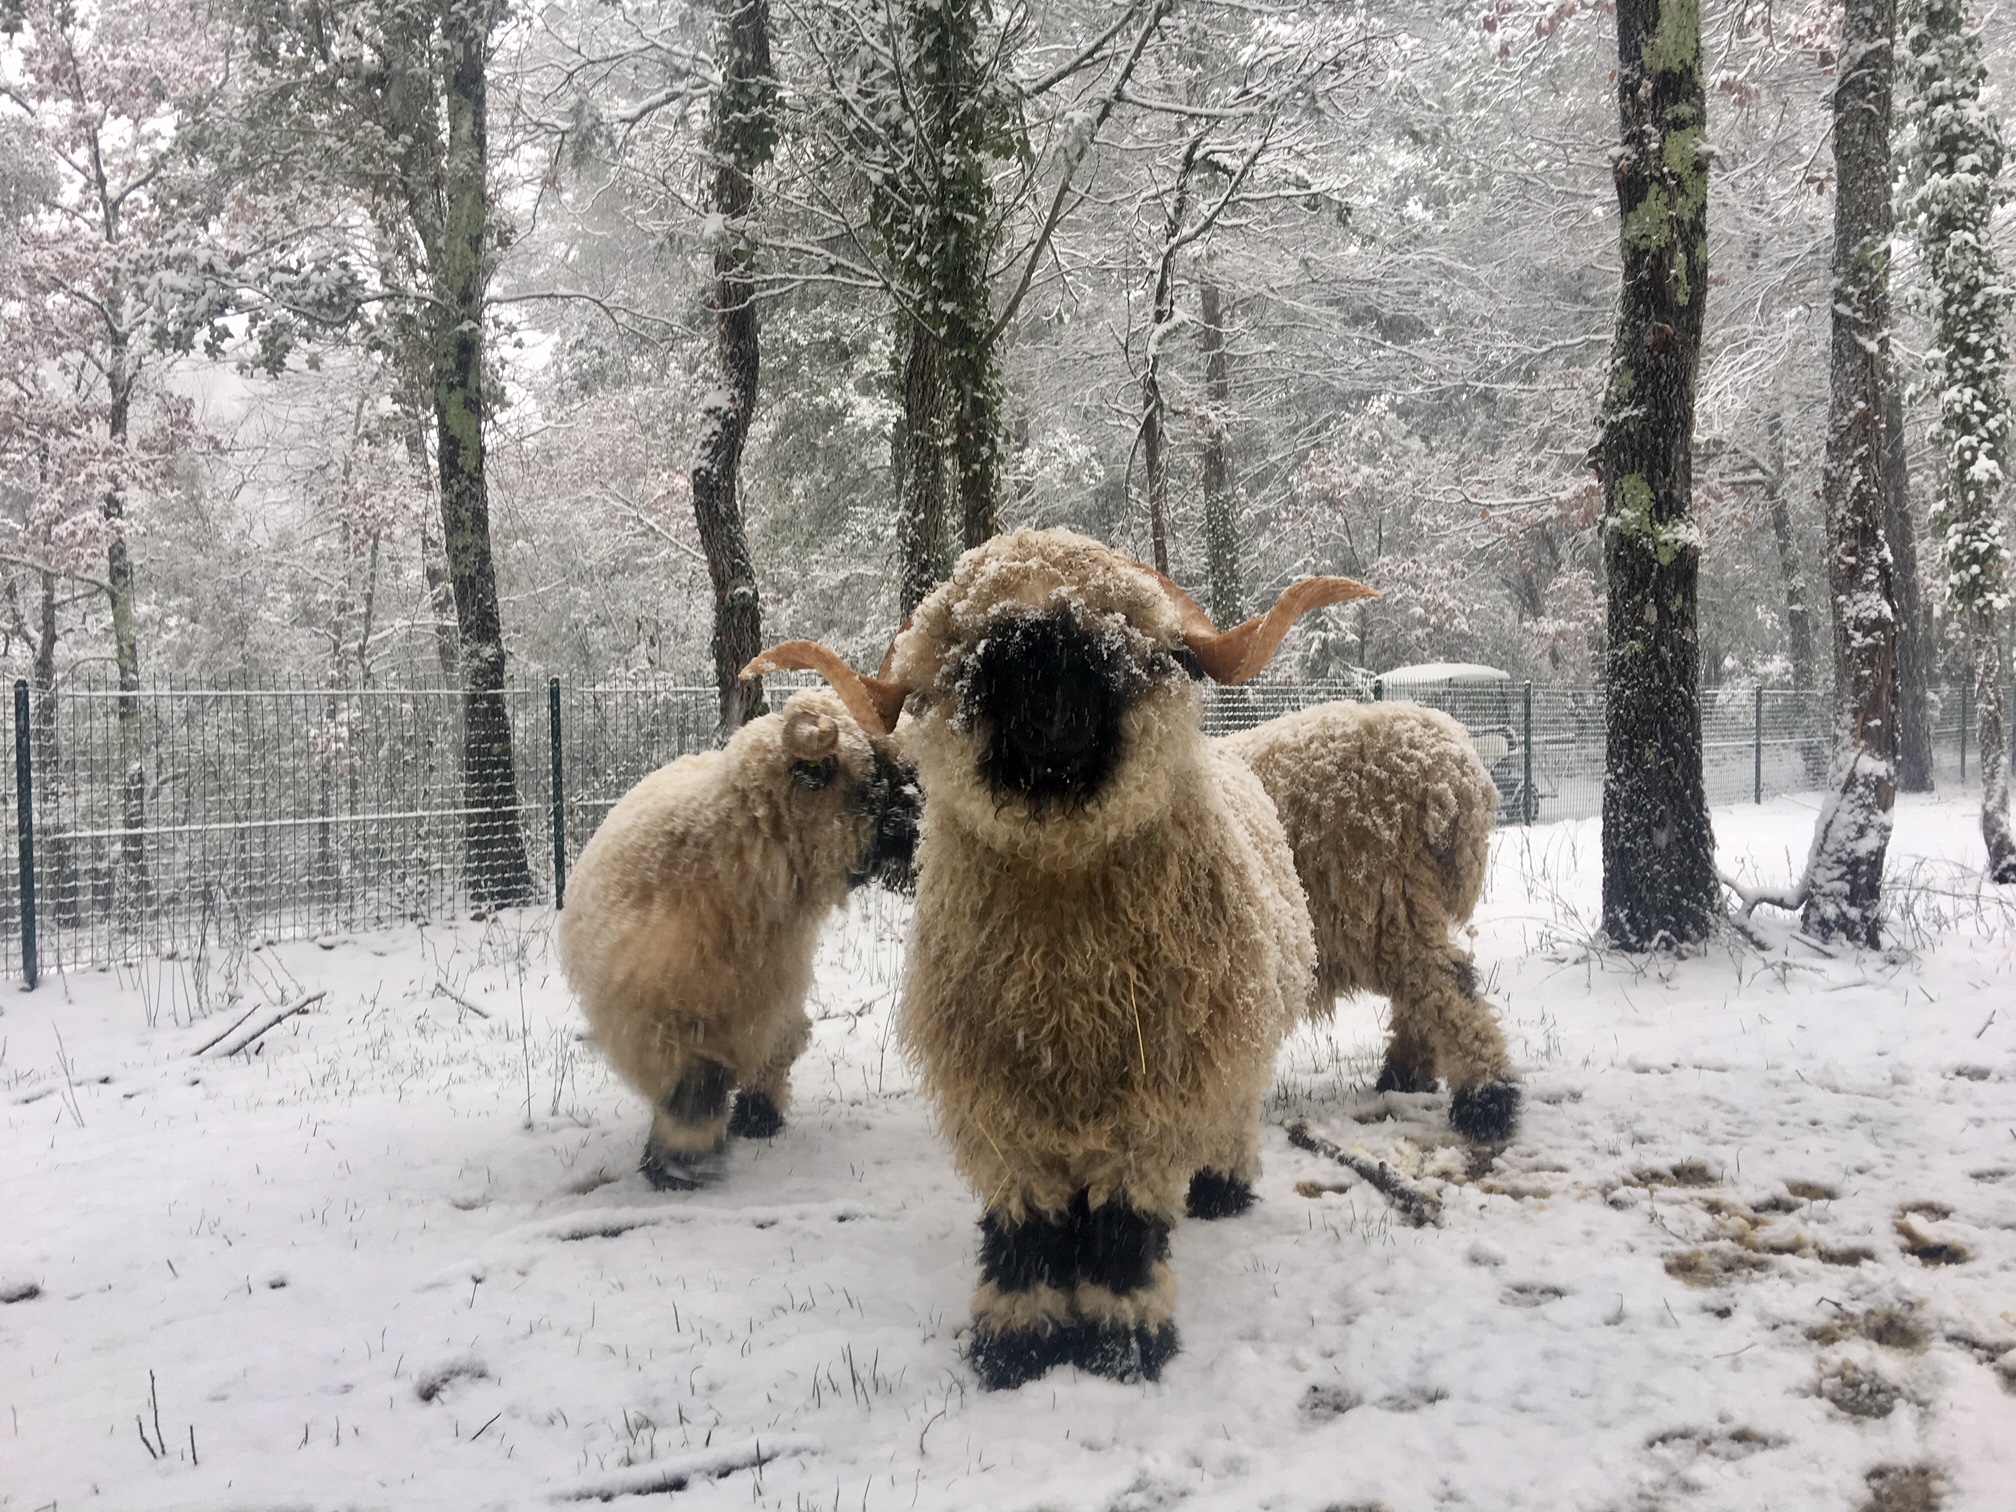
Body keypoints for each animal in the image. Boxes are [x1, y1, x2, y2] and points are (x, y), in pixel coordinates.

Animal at [558, 689, 918, 1190]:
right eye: (874, 779)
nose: (924, 825)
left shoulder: (765, 1001)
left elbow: (770, 1050)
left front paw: (725, 1134)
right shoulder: (651, 1018)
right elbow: (696, 1081)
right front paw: (679, 1164)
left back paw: (757, 1116)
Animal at [746, 528, 1374, 1389]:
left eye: (1157, 648)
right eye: (956, 655)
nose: (1042, 667)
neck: (1069, 989)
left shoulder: (1152, 1097)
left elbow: (1122, 1225)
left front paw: (1123, 1339)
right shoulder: (1000, 1101)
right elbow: (1027, 1227)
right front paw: (1015, 1342)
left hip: (1237, 1040)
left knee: (1233, 1110)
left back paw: (1221, 1188)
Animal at [1220, 699, 1520, 1142]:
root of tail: (1454, 769)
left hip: (1379, 893)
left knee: (1448, 984)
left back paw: (1486, 1099)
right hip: (1401, 903)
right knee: (1423, 991)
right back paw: (1406, 1075)